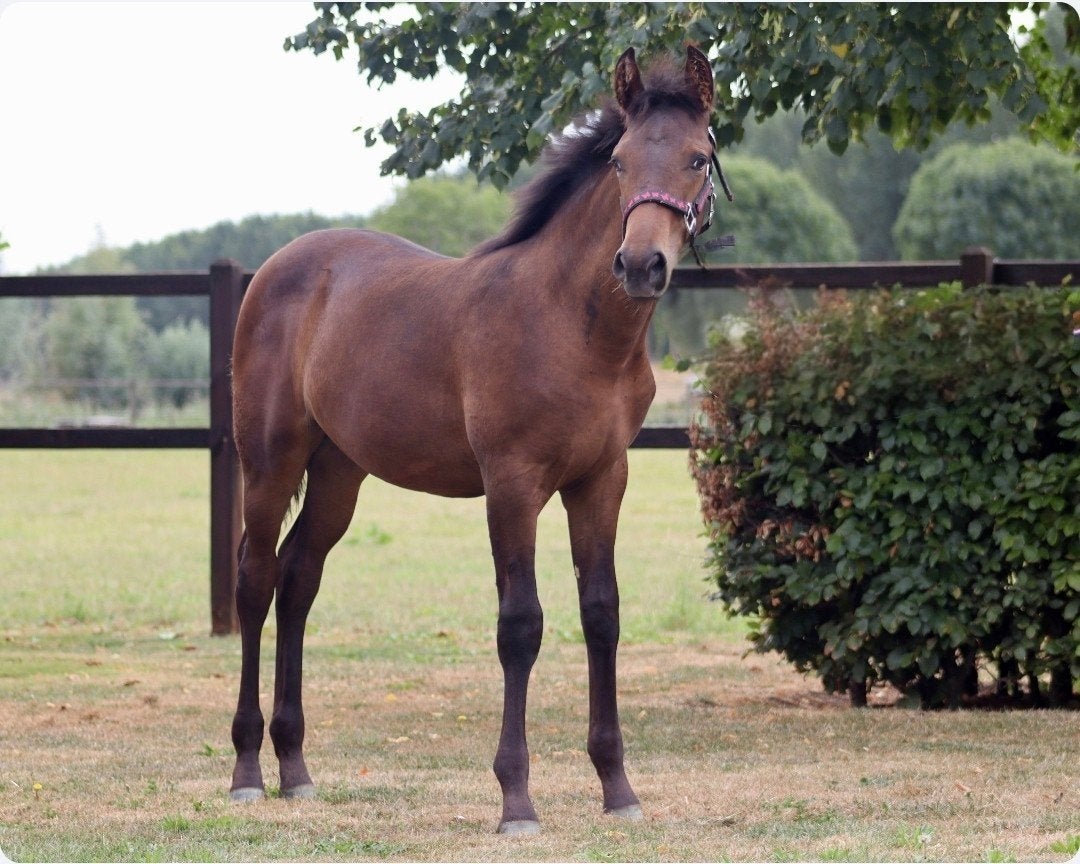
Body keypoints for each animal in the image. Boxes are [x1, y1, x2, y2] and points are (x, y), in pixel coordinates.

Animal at [227, 44, 719, 835]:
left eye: (698, 158)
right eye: (618, 161)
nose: (642, 265)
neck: (574, 327)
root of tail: (278, 266)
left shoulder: (602, 480)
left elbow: (602, 614)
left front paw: (618, 788)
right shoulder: (512, 484)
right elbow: (520, 624)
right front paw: (517, 799)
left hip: (339, 473)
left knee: (299, 579)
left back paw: (296, 769)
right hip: (270, 460)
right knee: (255, 580)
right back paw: (246, 771)